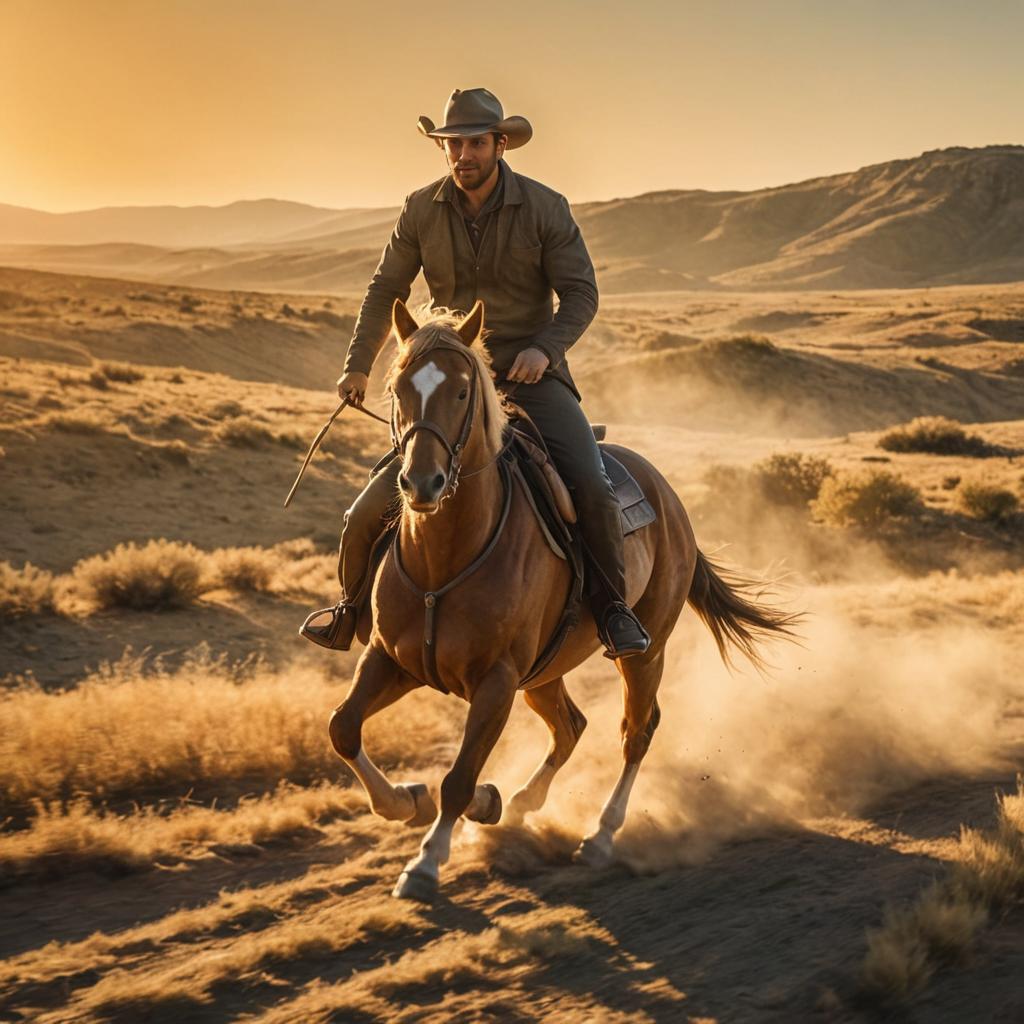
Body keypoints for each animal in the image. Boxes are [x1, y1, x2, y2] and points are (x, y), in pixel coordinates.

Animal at [327, 294, 798, 897]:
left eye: (462, 391)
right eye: (398, 389)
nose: (421, 484)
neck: (446, 557)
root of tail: (669, 498)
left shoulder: (497, 681)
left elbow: (459, 777)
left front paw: (426, 862)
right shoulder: (391, 660)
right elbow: (344, 729)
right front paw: (410, 800)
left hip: (642, 653)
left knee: (636, 732)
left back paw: (598, 837)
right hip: (544, 674)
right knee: (571, 727)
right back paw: (516, 803)